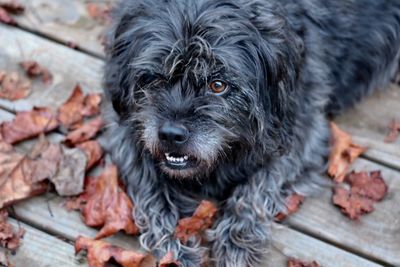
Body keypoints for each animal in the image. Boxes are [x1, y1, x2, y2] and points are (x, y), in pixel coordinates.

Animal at [103, 1, 400, 266]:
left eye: (218, 85)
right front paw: (174, 246)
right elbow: (150, 189)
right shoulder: (125, 131)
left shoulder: (300, 132)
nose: (171, 134)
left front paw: (235, 243)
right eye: (154, 78)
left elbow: (256, 188)